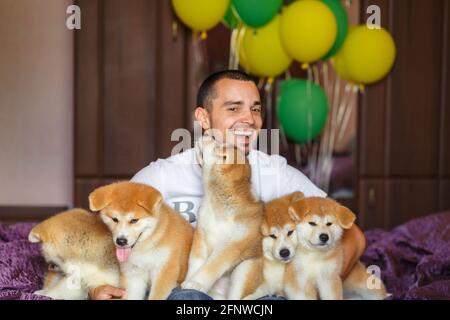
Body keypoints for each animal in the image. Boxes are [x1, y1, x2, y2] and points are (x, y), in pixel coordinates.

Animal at [182, 136, 264, 300]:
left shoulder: (232, 245)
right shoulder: (201, 235)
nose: (209, 136)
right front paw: (189, 280)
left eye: (217, 144)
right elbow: (195, 262)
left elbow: (211, 265)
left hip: (244, 269)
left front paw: (196, 282)